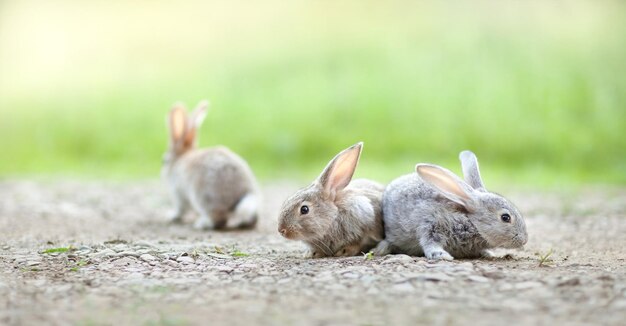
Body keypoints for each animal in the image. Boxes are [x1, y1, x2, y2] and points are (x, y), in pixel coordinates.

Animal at [162, 100, 260, 230]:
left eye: (164, 161)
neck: (180, 158)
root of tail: (241, 196)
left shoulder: (178, 195)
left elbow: (180, 210)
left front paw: (172, 216)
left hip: (202, 198)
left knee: (218, 220)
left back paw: (200, 224)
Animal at [370, 150, 528, 260]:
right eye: (505, 217)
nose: (524, 240)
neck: (471, 221)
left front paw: (488, 253)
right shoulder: (430, 223)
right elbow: (429, 241)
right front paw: (441, 255)